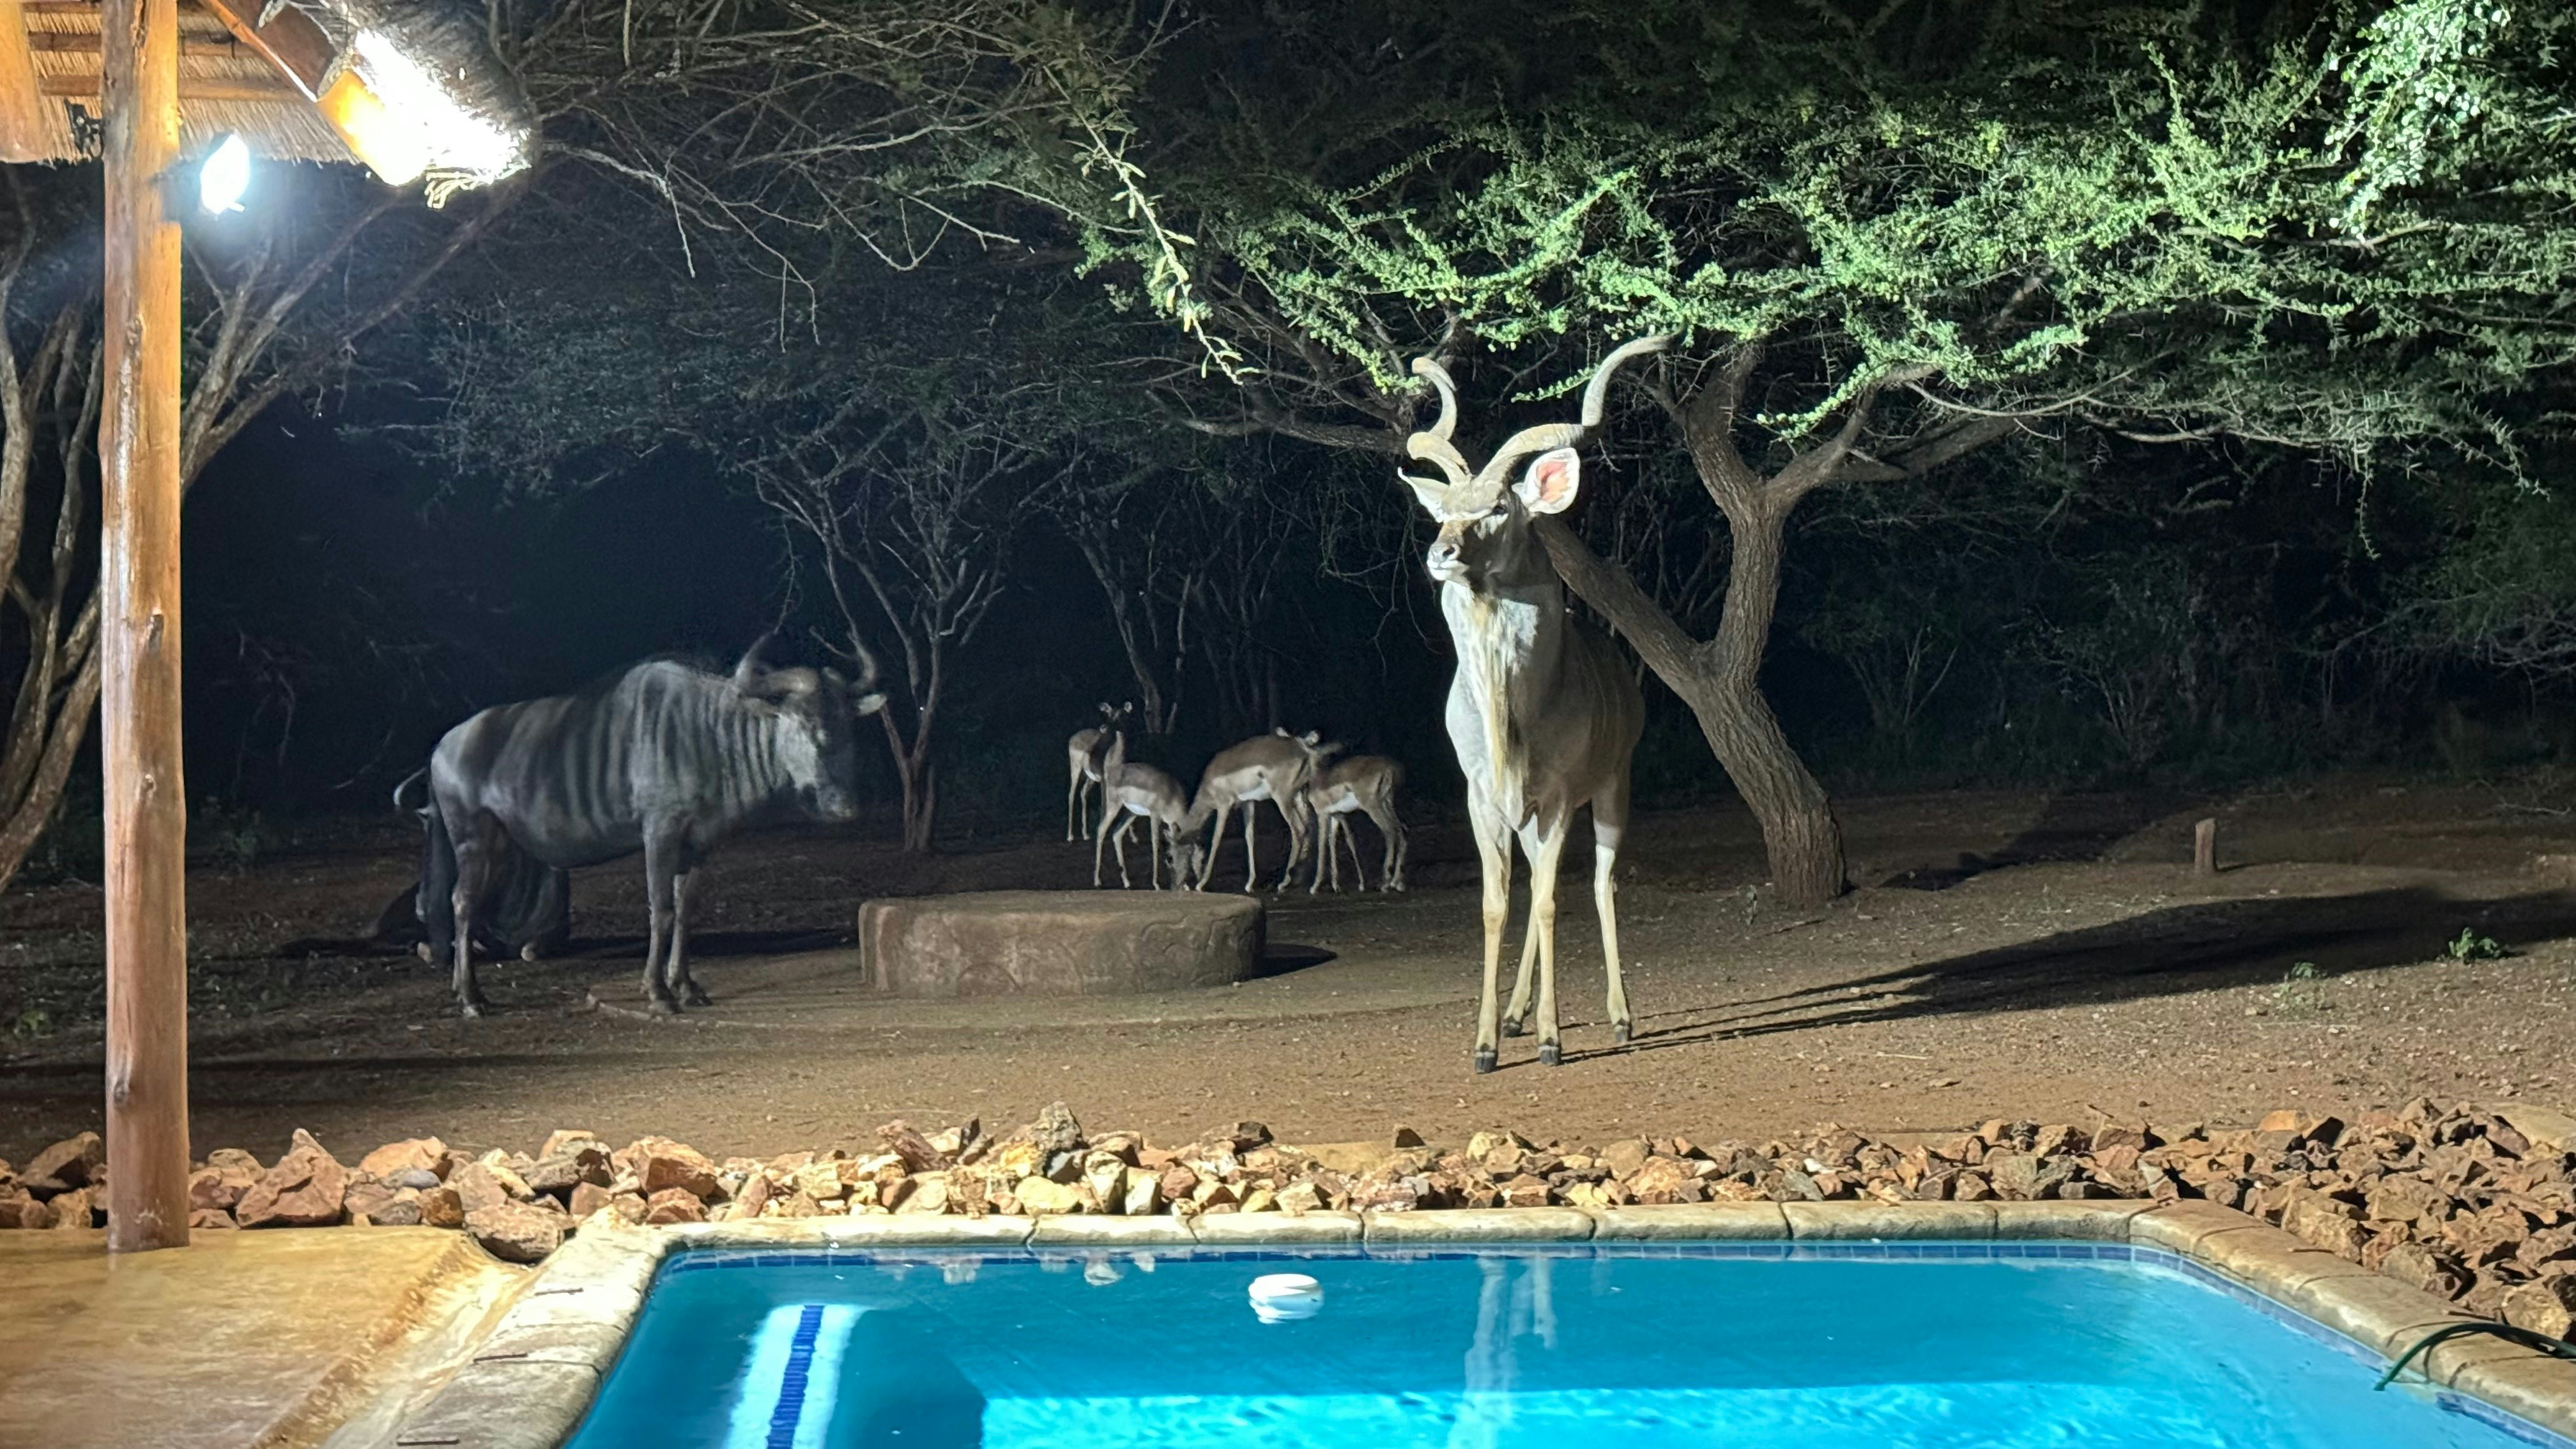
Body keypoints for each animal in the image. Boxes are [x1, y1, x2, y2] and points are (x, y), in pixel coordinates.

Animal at [1064, 700, 1137, 840]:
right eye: (1109, 713)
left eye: (1122, 714)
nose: (1103, 727)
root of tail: (1072, 738)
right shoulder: (1104, 780)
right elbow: (1104, 805)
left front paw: (1134, 837)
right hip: (1076, 768)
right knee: (1072, 794)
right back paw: (1070, 836)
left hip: (1090, 777)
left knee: (1083, 793)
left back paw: (1086, 834)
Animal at [1091, 733, 1200, 889]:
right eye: (1169, 858)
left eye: (1187, 860)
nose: (1177, 885)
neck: (1171, 795)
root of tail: (1112, 769)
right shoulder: (1155, 816)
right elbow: (1155, 842)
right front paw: (1156, 884)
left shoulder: (1170, 823)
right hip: (1114, 807)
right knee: (1101, 829)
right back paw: (1097, 881)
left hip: (1131, 813)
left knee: (1117, 833)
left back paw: (1127, 882)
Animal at [1182, 728, 1338, 892]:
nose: (1183, 882)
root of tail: (1305, 751)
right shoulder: (1248, 803)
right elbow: (1249, 837)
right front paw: (1249, 884)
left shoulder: (1224, 806)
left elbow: (1216, 839)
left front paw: (1201, 883)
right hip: (1301, 794)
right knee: (1319, 829)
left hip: (1282, 798)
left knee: (1300, 830)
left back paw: (1285, 883)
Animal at [1303, 754, 1409, 893]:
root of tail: (1389, 769)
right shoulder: (1336, 815)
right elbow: (1333, 841)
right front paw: (1336, 885)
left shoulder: (1322, 813)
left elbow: (1322, 843)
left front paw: (1315, 886)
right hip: (1387, 803)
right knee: (1401, 829)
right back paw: (1397, 883)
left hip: (1372, 806)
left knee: (1389, 831)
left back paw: (1385, 882)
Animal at [1400, 335, 1661, 1071]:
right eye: (1444, 509)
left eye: (1498, 508)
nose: (1441, 553)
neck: (1514, 714)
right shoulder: (1484, 798)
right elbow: (1498, 903)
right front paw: (1488, 1043)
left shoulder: (1560, 796)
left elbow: (1548, 902)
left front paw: (1551, 1038)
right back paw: (1516, 1015)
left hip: (1613, 788)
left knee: (1599, 884)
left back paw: (1618, 1018)